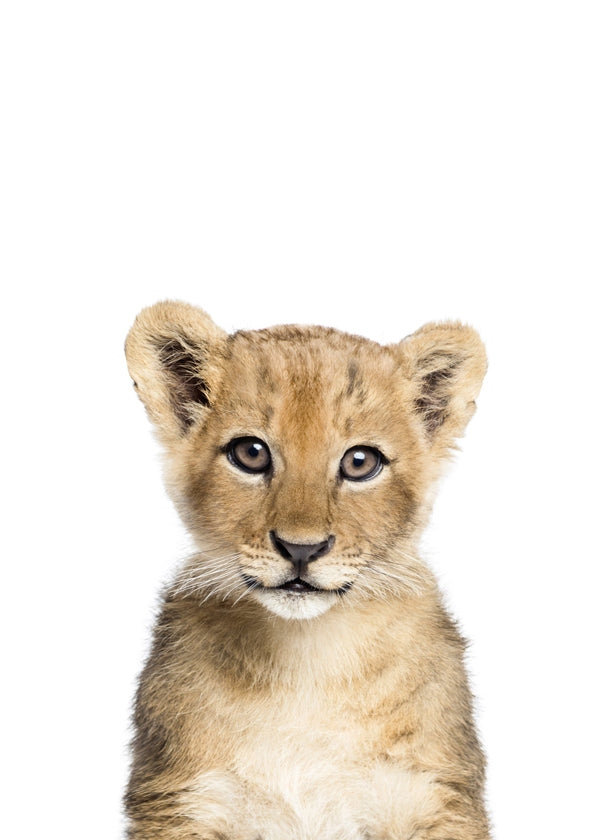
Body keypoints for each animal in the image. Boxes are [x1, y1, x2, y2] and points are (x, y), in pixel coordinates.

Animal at [124, 300, 490, 839]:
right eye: (251, 453)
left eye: (360, 462)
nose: (301, 549)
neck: (307, 661)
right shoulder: (180, 799)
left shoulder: (435, 795)